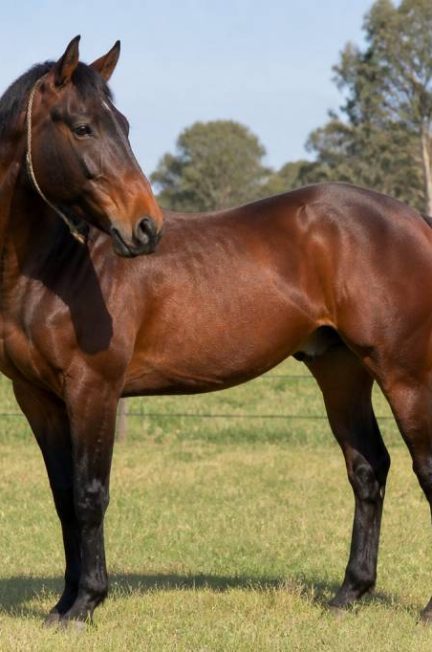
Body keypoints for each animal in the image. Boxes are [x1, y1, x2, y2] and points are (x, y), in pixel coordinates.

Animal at [2, 38, 432, 629]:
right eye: (83, 127)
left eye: (124, 125)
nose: (146, 227)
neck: (56, 267)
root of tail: (414, 221)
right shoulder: (36, 397)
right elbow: (64, 496)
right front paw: (62, 605)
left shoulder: (94, 389)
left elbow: (90, 495)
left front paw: (86, 602)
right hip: (340, 370)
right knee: (368, 468)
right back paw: (349, 594)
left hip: (405, 373)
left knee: (423, 468)